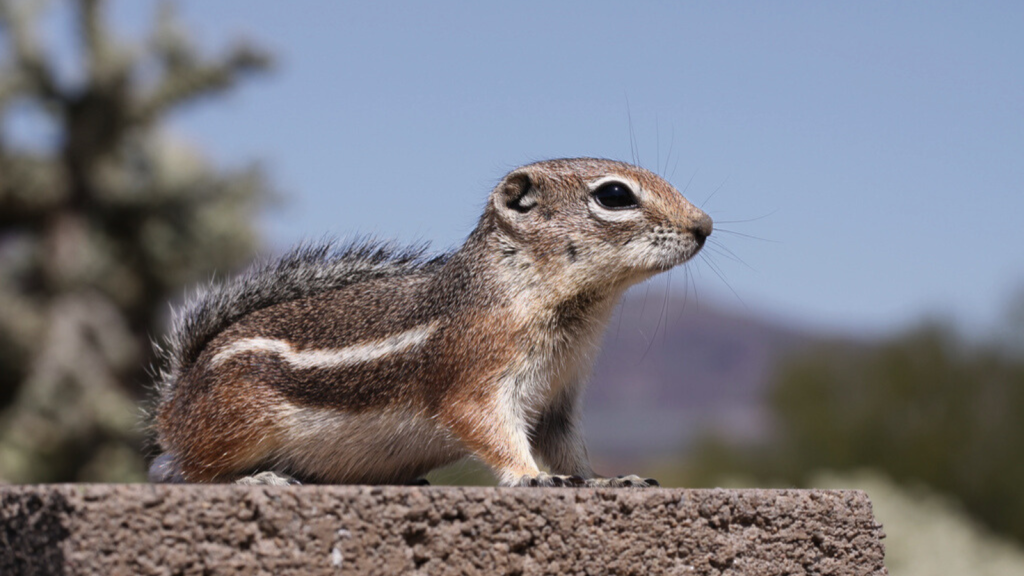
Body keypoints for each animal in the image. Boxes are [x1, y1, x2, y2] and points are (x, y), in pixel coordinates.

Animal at [149, 155, 712, 483]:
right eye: (614, 195)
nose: (704, 225)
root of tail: (175, 396)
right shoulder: (477, 370)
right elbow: (485, 425)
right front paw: (531, 476)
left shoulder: (559, 400)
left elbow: (568, 448)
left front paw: (605, 480)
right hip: (237, 422)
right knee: (186, 471)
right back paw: (257, 478)